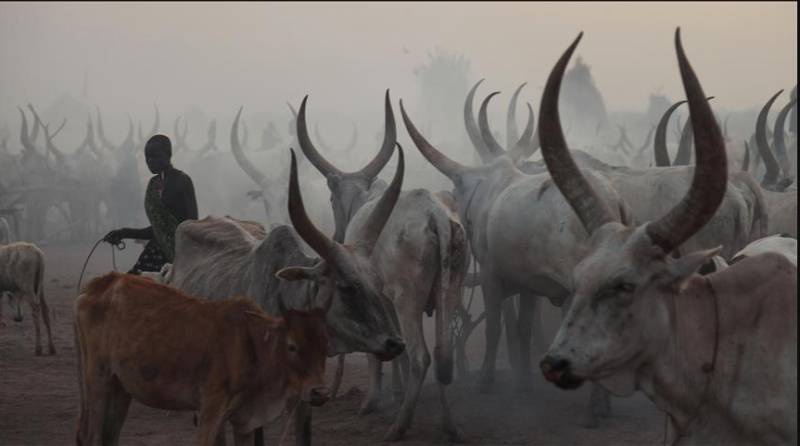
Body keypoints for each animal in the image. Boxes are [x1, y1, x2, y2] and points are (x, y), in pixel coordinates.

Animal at [74, 272, 331, 446]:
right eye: (292, 346)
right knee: (90, 436)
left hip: (121, 387)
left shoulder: (243, 421)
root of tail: (102, 282)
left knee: (109, 436)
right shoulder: (210, 409)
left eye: (325, 347)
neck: (253, 348)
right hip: (98, 380)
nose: (319, 393)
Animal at [297, 92, 469, 441]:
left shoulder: (377, 298)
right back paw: (449, 425)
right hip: (450, 293)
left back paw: (398, 427)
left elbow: (376, 350)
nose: (336, 236)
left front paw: (372, 401)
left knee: (421, 357)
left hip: (408, 300)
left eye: (331, 199)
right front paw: (396, 392)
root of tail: (437, 216)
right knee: (443, 354)